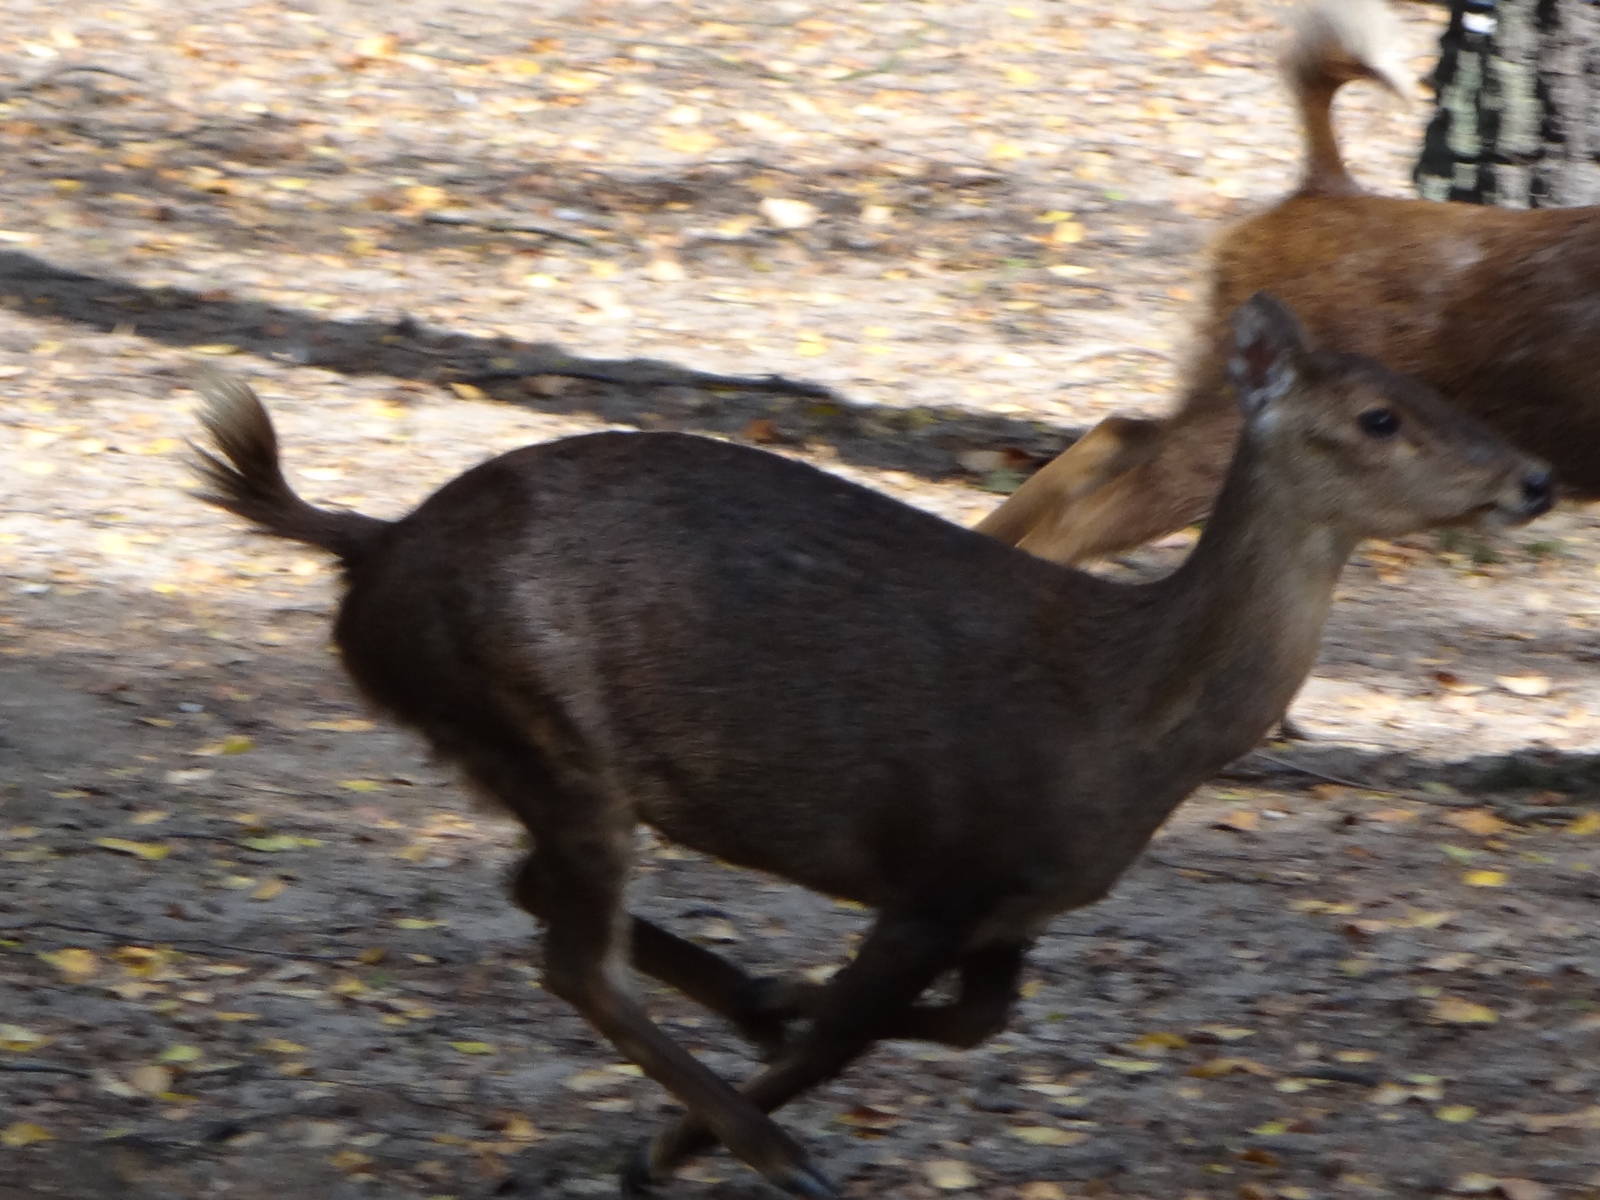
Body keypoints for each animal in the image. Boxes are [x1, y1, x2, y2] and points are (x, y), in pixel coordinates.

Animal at [189, 293, 1550, 1198]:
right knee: (571, 956)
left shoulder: (1008, 907)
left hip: (517, 749)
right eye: (1377, 415)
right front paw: (678, 1140)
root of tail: (370, 548)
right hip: (545, 720)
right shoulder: (936, 868)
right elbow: (856, 1027)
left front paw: (768, 1007)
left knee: (529, 889)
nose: (1534, 477)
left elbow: (968, 1022)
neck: (1121, 722)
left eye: (1447, 393)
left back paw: (743, 1014)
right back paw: (770, 1147)